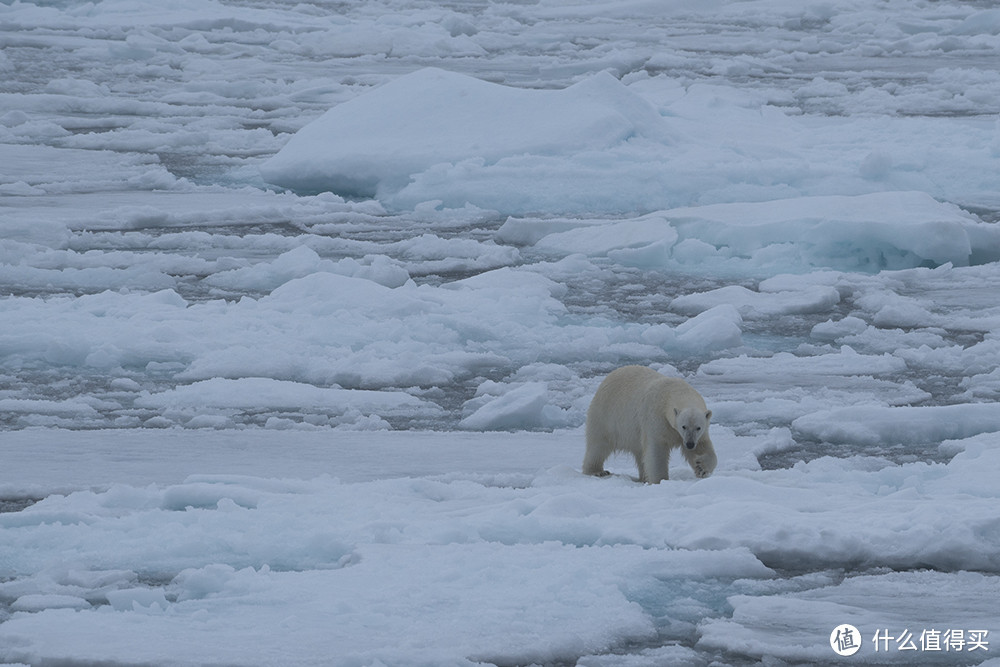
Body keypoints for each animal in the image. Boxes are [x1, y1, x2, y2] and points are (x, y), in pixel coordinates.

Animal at [584, 368, 716, 482]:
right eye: (683, 426)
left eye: (698, 427)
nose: (689, 444)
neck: (674, 391)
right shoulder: (657, 417)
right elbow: (656, 449)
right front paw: (660, 480)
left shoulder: (693, 433)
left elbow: (703, 447)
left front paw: (701, 467)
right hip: (605, 416)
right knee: (598, 445)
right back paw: (597, 471)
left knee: (639, 452)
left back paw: (644, 477)